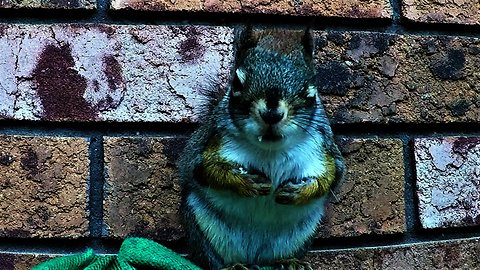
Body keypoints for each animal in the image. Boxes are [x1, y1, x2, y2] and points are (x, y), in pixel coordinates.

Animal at [177, 25, 344, 270]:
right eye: (236, 84)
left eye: (310, 91)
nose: (272, 114)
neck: (270, 148)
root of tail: (255, 258)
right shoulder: (207, 143)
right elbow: (203, 168)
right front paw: (245, 182)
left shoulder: (325, 149)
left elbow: (332, 176)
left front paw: (299, 192)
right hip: (203, 225)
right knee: (215, 258)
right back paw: (233, 266)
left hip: (302, 232)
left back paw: (288, 261)